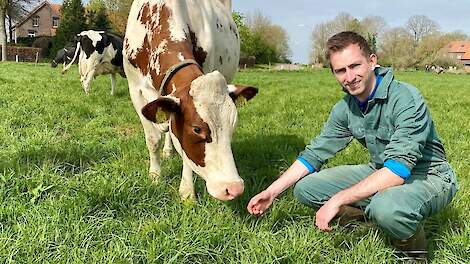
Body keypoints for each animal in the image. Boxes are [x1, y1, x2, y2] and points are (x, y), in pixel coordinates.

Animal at [123, 0, 258, 200]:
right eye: (196, 129)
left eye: (233, 126)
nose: (233, 188)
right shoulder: (135, 89)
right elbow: (153, 139)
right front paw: (155, 176)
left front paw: (187, 192)